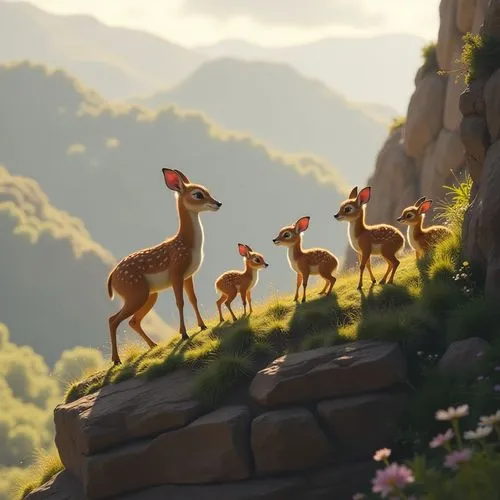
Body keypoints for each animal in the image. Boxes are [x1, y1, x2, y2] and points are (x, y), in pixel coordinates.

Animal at [106, 170, 222, 366]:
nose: (218, 203)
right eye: (198, 194)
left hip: (149, 294)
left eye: (207, 190)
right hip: (135, 292)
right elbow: (180, 302)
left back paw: (153, 345)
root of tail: (111, 277)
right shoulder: (176, 270)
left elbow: (193, 299)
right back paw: (117, 360)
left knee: (132, 321)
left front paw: (202, 325)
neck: (189, 244)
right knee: (113, 320)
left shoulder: (188, 275)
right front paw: (184, 333)